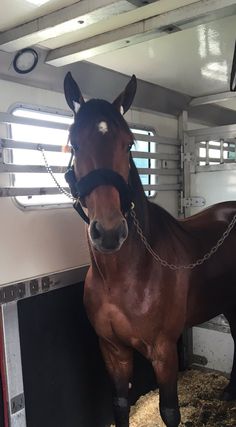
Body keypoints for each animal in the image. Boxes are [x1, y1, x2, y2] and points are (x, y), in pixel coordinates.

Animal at [63, 72, 236, 426]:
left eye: (129, 143)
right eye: (75, 143)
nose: (110, 231)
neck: (125, 275)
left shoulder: (163, 351)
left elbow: (169, 411)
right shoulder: (112, 350)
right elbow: (119, 404)